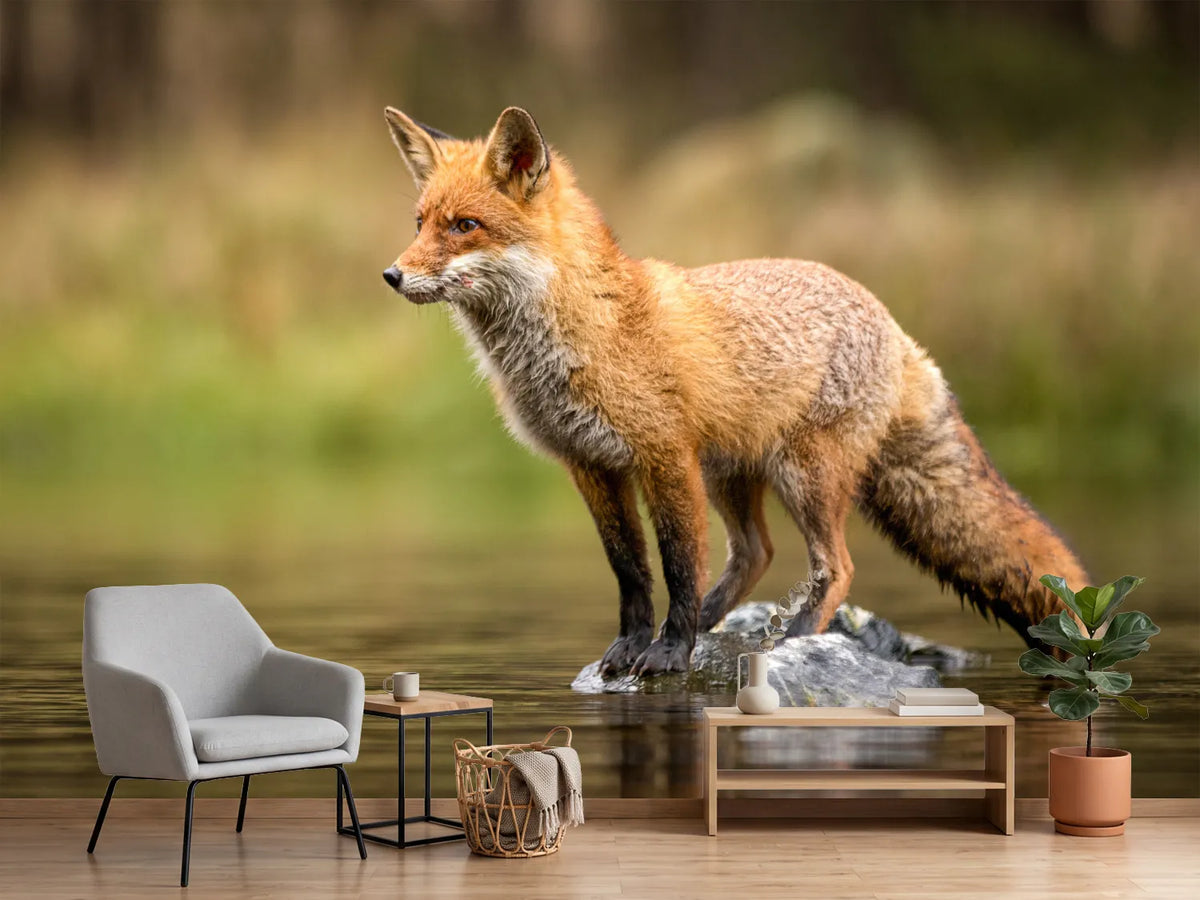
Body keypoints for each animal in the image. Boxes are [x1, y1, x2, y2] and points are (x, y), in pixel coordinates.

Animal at [379, 105, 1089, 676]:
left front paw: (669, 653)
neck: (587, 332)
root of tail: (892, 322)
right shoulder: (591, 465)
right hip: (732, 473)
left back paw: (793, 640)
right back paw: (716, 623)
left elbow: (677, 563)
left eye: (465, 226)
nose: (391, 275)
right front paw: (635, 646)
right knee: (755, 553)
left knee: (834, 567)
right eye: (419, 223)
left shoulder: (664, 456)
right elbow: (630, 570)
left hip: (804, 475)